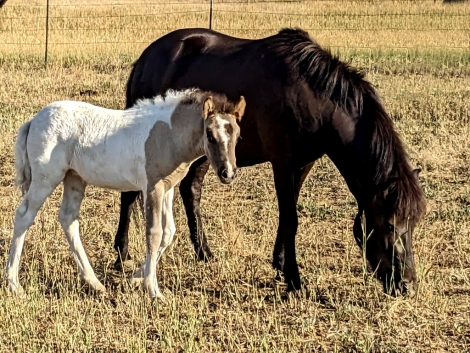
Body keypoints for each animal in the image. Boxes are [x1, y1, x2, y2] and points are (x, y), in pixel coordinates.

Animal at [7, 89, 246, 298]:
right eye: (210, 135)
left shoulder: (167, 188)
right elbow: (154, 233)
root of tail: (34, 120)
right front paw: (153, 290)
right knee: (24, 215)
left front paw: (136, 278)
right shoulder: (152, 187)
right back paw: (14, 284)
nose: (228, 173)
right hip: (46, 177)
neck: (167, 134)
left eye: (237, 136)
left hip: (74, 178)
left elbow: (168, 232)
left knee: (68, 218)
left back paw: (94, 283)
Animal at [114, 27, 426, 292]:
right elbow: (290, 220)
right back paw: (121, 254)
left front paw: (279, 264)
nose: (407, 284)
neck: (312, 97)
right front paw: (294, 280)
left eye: (413, 224)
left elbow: (287, 215)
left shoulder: (303, 164)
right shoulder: (283, 163)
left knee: (191, 190)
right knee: (129, 195)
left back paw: (204, 253)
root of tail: (148, 56)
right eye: (390, 225)